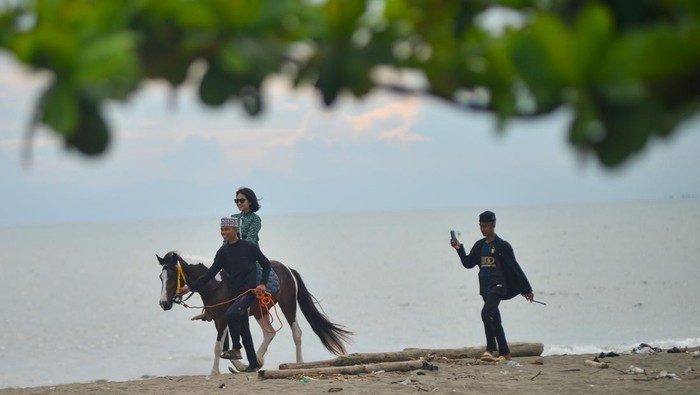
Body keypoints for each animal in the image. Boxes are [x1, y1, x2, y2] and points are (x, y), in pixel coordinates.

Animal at [154, 252, 348, 376]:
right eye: (160, 277)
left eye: (172, 276)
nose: (164, 303)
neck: (216, 284)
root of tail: (288, 268)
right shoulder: (219, 319)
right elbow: (225, 347)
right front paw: (240, 366)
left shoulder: (224, 318)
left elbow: (219, 346)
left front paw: (215, 371)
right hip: (260, 312)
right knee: (269, 333)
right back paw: (258, 362)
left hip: (288, 304)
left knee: (296, 333)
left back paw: (298, 364)